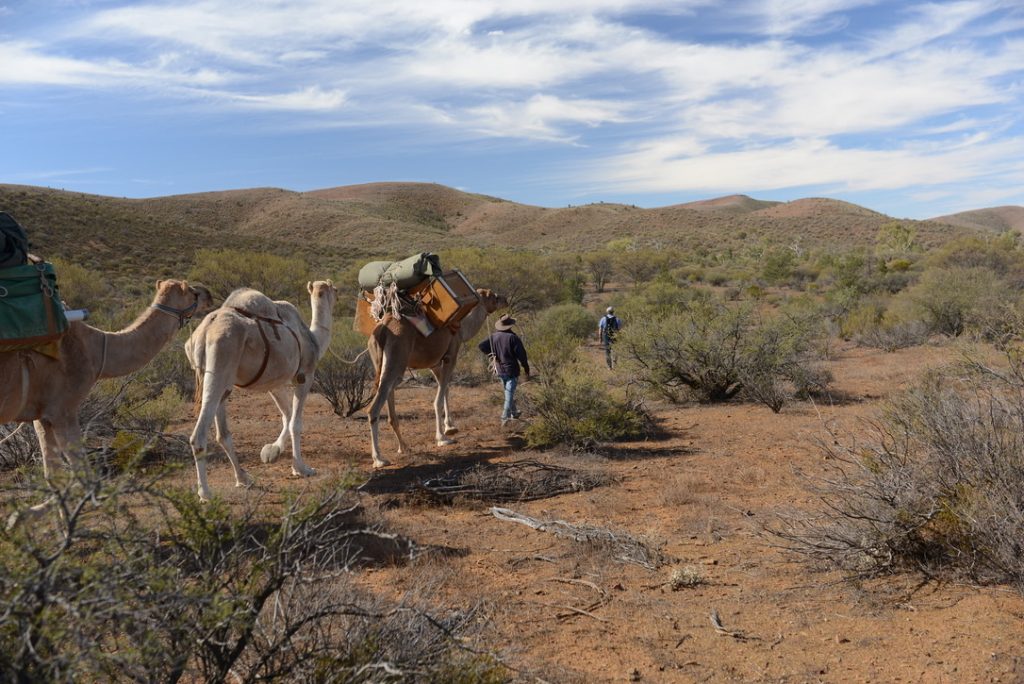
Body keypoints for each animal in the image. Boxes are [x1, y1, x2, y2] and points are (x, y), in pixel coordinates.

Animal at [0, 279, 212, 482]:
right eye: (193, 292)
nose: (209, 295)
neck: (95, 349)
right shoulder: (62, 409)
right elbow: (83, 473)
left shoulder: (42, 414)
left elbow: (52, 475)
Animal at [185, 280, 337, 501]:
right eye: (335, 290)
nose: (337, 292)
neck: (313, 339)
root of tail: (204, 332)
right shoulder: (305, 375)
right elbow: (295, 423)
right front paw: (301, 468)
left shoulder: (274, 382)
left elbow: (287, 415)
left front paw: (272, 451)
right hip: (219, 365)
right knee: (200, 434)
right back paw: (205, 492)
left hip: (220, 380)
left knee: (223, 434)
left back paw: (243, 478)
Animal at [366, 288, 507, 467]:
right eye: (494, 296)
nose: (505, 299)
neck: (461, 328)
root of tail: (383, 330)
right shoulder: (451, 354)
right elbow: (438, 398)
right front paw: (443, 437)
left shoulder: (434, 363)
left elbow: (445, 387)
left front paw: (450, 427)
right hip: (396, 360)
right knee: (374, 407)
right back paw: (379, 459)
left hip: (385, 363)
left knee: (389, 397)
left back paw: (403, 447)